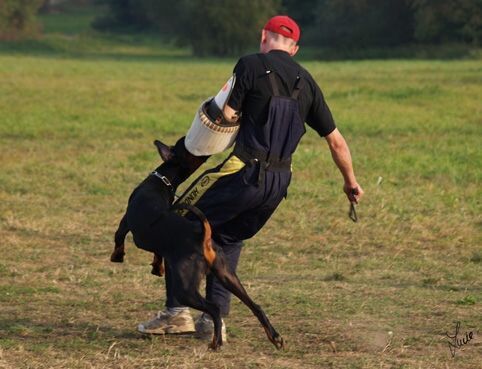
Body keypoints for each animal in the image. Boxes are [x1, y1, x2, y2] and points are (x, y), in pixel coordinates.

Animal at [111, 137, 284, 348]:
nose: (186, 138)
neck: (161, 181)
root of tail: (203, 238)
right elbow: (157, 254)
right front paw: (157, 268)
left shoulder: (124, 224)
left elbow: (118, 239)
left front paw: (117, 257)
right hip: (226, 274)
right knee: (254, 305)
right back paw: (275, 337)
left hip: (185, 287)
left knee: (214, 308)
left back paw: (216, 343)